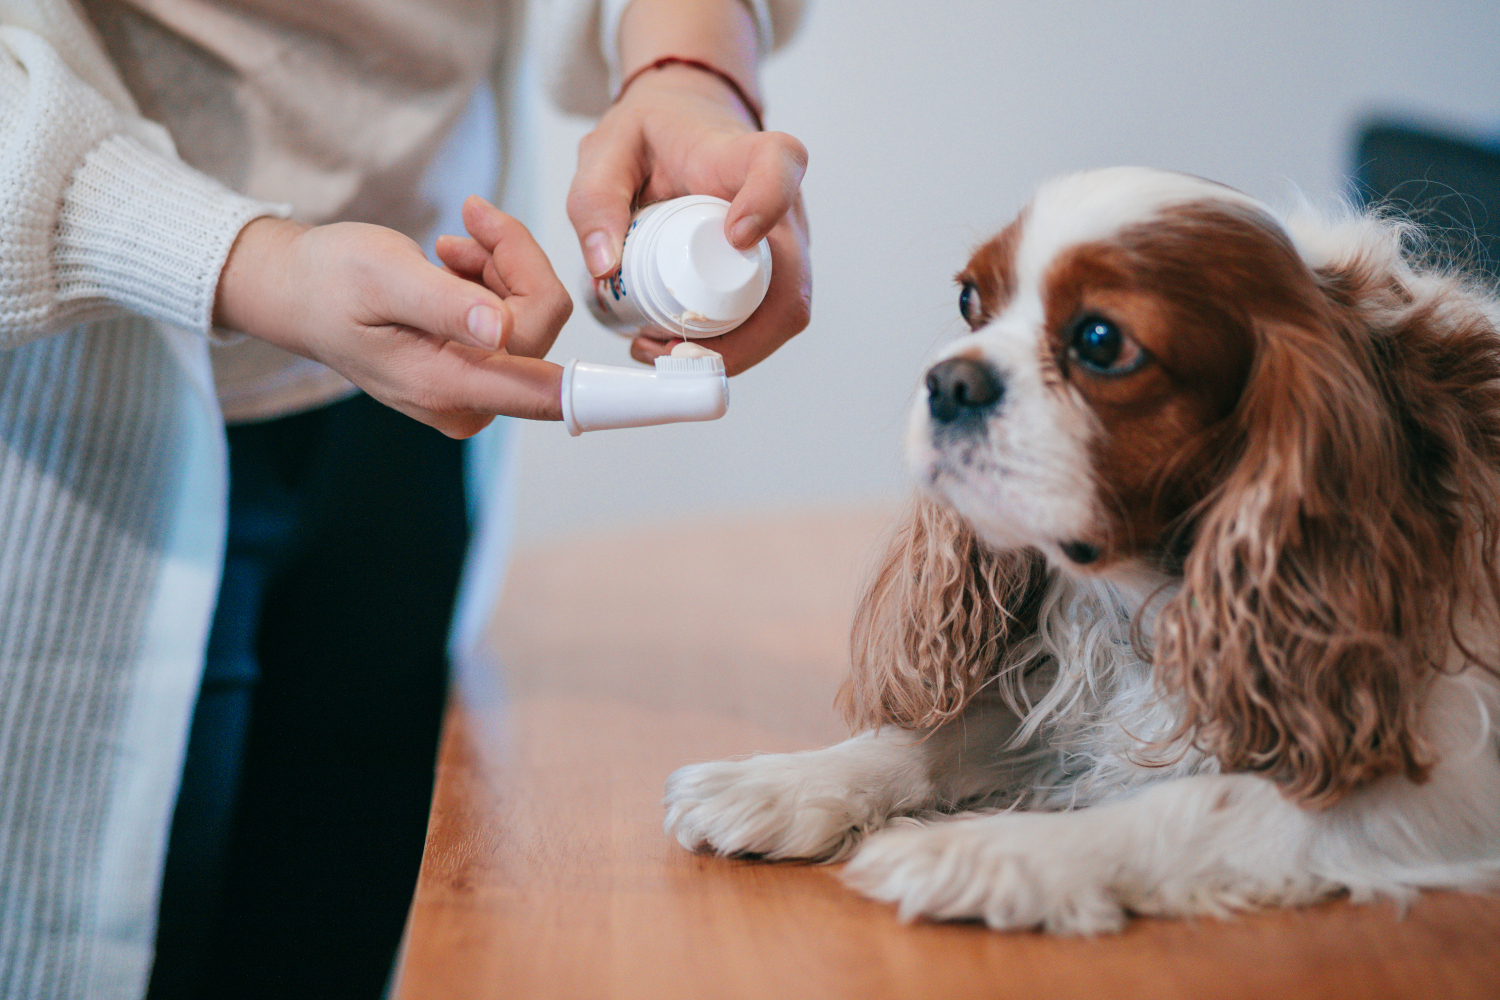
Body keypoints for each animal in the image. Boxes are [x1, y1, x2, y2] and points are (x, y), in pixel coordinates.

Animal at [663, 167, 1500, 935]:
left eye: (1101, 341)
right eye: (970, 302)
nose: (949, 380)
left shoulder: (1442, 783)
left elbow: (1202, 802)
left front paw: (991, 850)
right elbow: (944, 736)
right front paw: (781, 783)